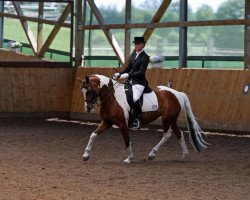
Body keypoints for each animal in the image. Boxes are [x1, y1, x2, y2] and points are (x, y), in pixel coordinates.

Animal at [79, 74, 207, 163]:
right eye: (82, 91)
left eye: (89, 90)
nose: (88, 108)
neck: (113, 98)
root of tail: (177, 93)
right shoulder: (106, 122)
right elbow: (93, 135)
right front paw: (85, 155)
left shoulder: (122, 124)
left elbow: (127, 140)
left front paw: (129, 158)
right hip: (172, 119)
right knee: (179, 133)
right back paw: (184, 155)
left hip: (167, 119)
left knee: (167, 135)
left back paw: (152, 154)